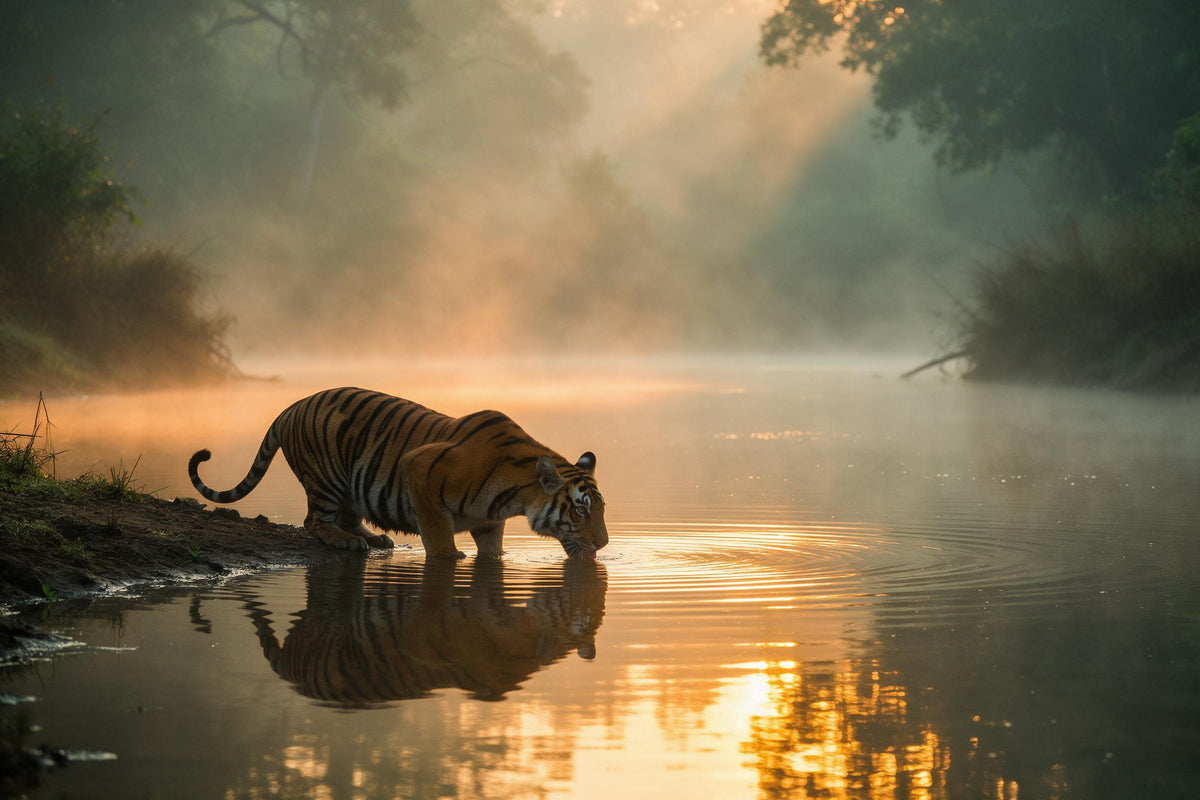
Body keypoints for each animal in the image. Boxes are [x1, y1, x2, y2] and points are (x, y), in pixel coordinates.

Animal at [187, 387, 608, 559]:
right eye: (580, 510)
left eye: (600, 510)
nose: (603, 545)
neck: (515, 496)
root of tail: (289, 407)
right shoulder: (419, 469)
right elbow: (439, 540)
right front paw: (451, 558)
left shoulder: (490, 523)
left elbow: (492, 553)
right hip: (327, 476)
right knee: (314, 521)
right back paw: (345, 541)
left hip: (351, 485)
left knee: (348, 516)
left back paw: (372, 537)